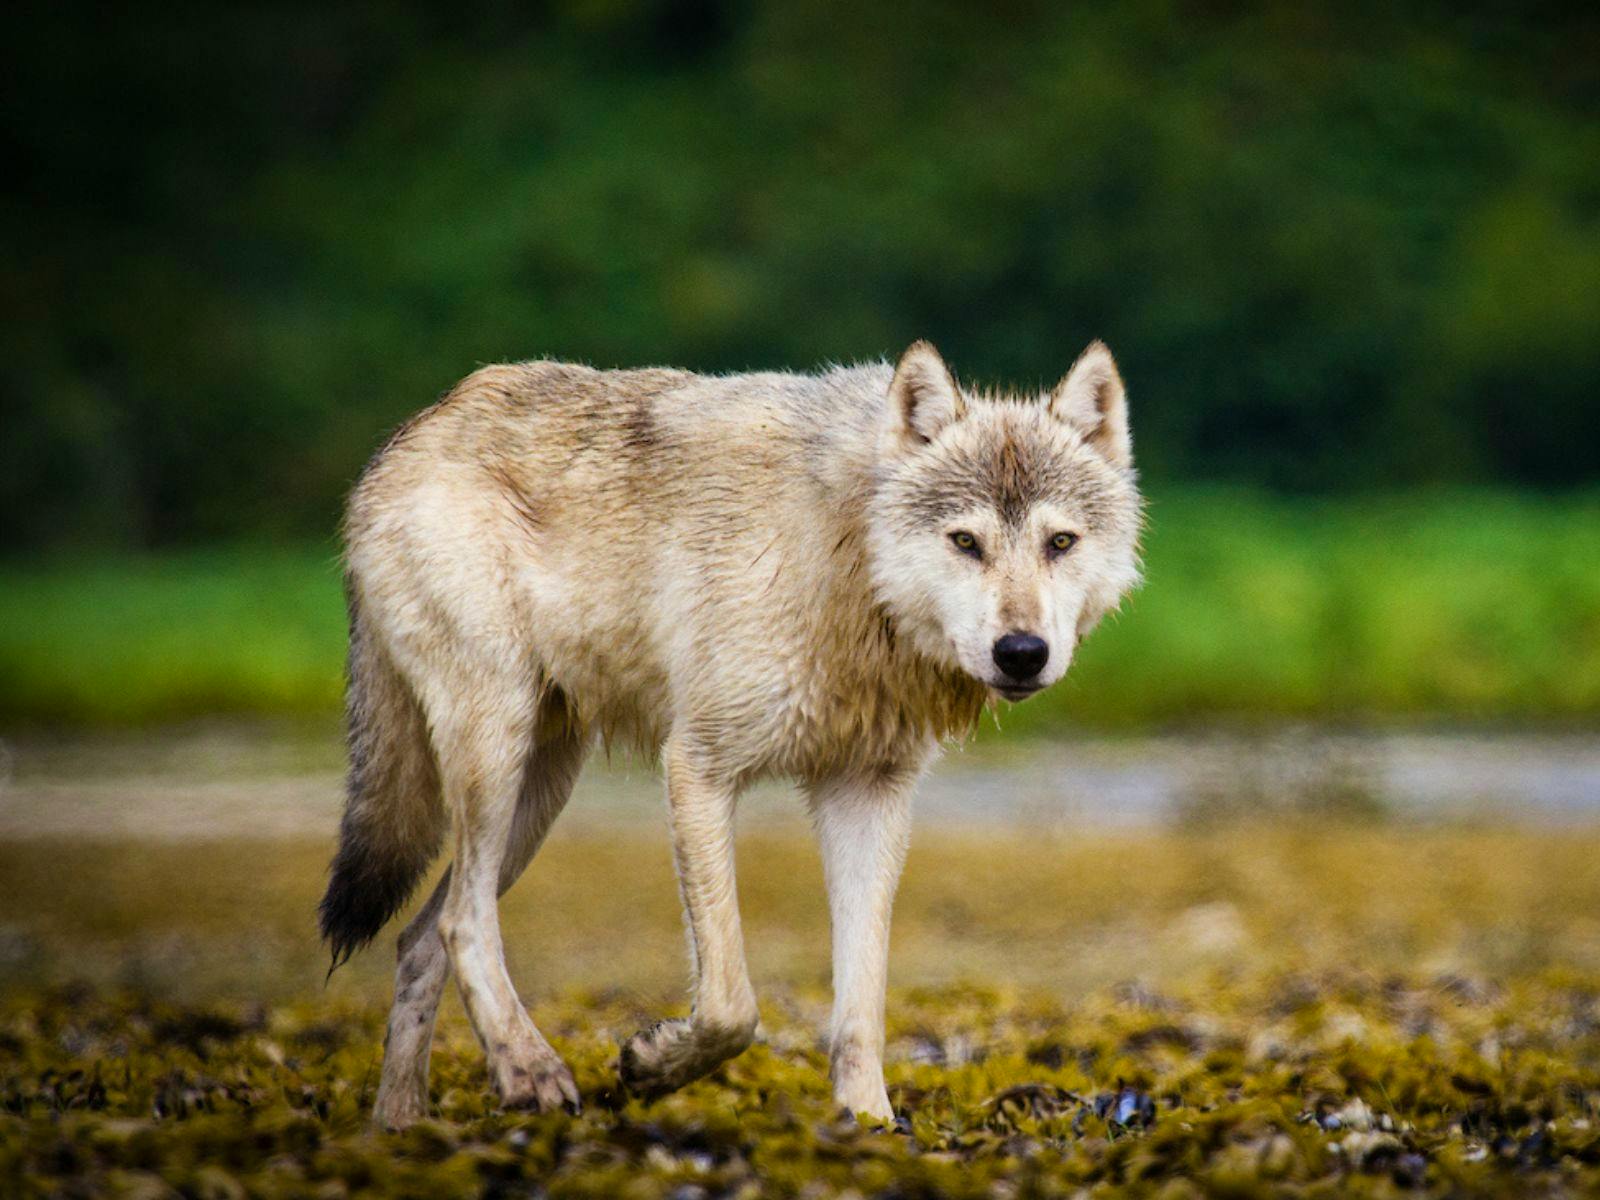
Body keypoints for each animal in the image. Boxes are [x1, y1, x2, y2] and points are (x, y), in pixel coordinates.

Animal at [319, 339, 1142, 1128]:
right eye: (966, 542)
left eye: (1060, 543)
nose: (1022, 652)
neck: (846, 561)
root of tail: (410, 433)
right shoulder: (698, 767)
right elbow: (730, 1006)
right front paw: (652, 1065)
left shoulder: (867, 792)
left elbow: (861, 1005)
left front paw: (868, 1121)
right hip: (497, 754)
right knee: (462, 921)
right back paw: (531, 1071)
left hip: (539, 791)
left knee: (420, 939)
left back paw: (403, 1128)